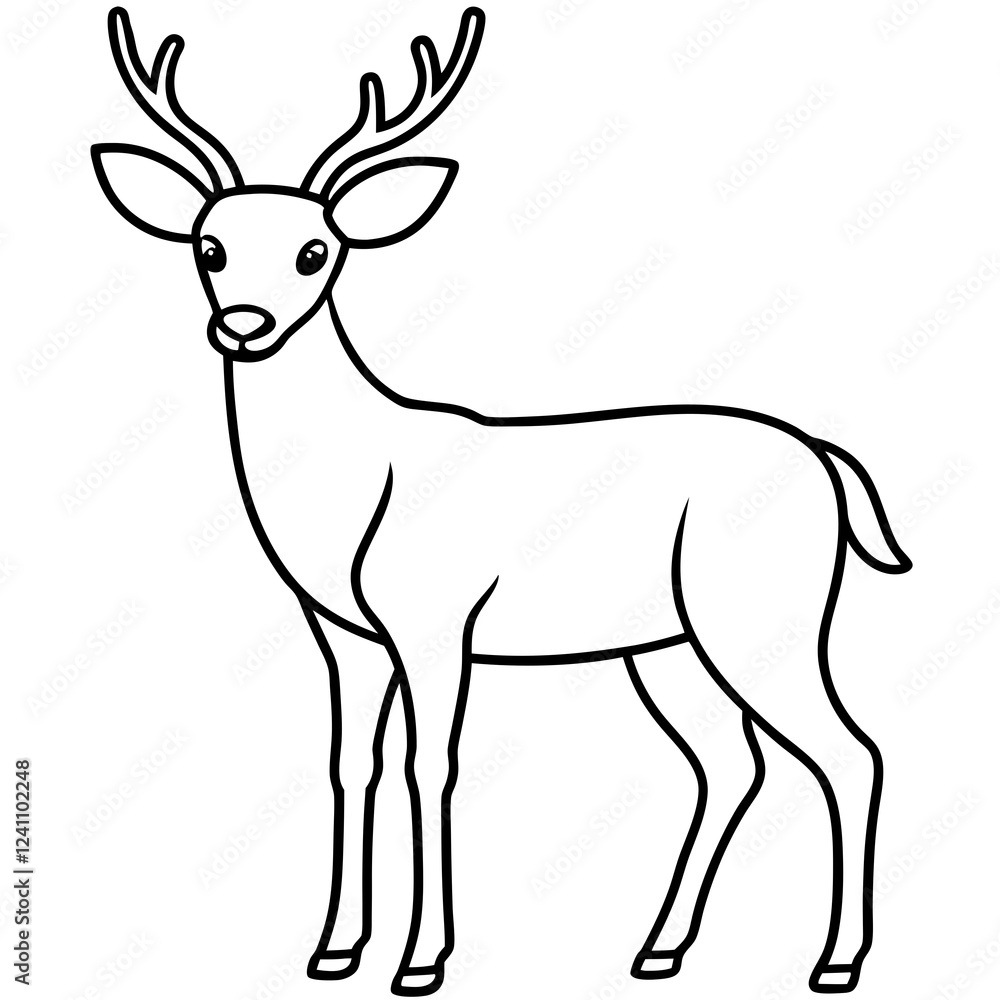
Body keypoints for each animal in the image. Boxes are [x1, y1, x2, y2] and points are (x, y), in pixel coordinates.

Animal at [91, 6, 911, 995]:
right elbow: (350, 764)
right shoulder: (344, 633)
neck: (354, 490)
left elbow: (429, 765)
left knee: (851, 752)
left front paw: (421, 960)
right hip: (667, 645)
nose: (244, 326)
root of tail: (829, 462)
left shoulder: (436, 620)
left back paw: (836, 962)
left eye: (316, 250)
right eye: (208, 247)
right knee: (730, 763)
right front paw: (334, 949)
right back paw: (658, 948)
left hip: (760, 613)